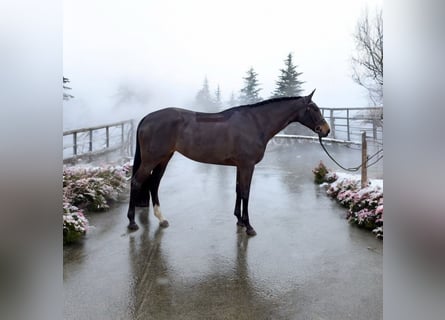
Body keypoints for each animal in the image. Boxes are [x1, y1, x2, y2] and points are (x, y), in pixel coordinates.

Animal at [126, 90, 328, 235]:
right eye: (314, 109)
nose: (326, 130)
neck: (255, 123)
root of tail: (147, 118)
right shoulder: (247, 165)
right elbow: (246, 192)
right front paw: (249, 226)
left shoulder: (240, 166)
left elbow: (238, 190)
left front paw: (239, 220)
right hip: (151, 160)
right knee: (136, 182)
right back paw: (132, 222)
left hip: (164, 158)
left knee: (154, 183)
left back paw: (161, 219)